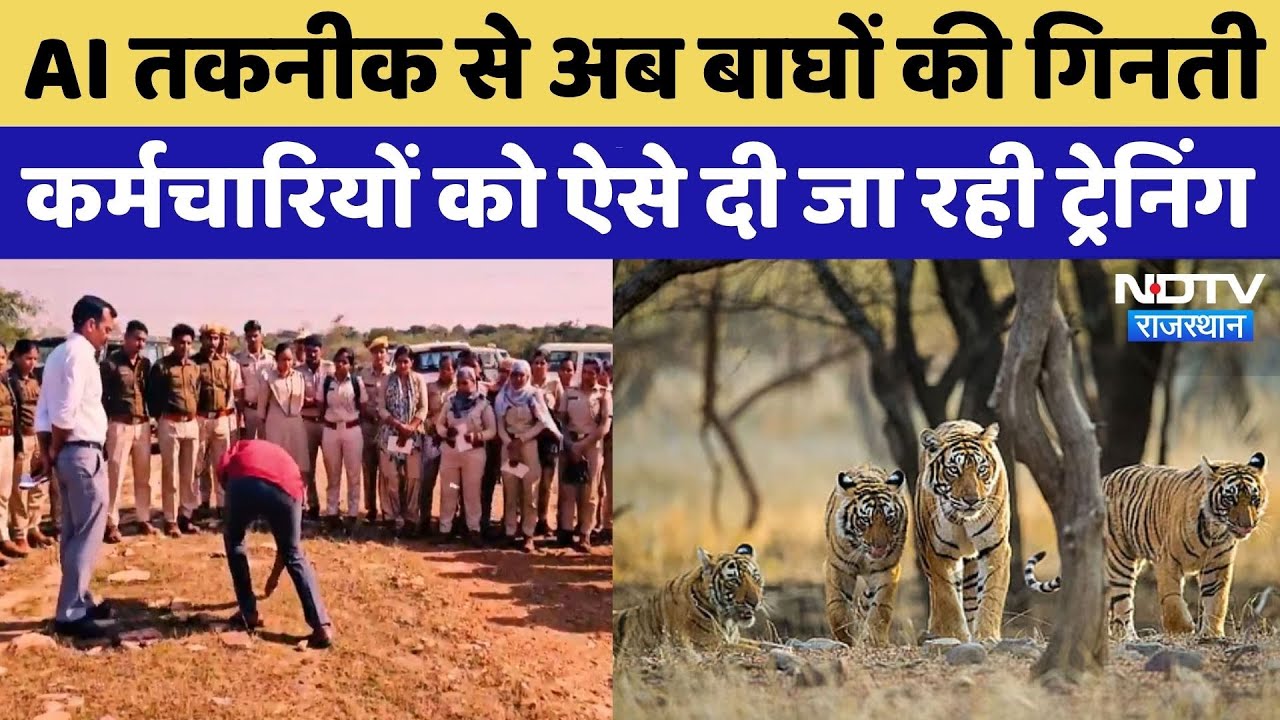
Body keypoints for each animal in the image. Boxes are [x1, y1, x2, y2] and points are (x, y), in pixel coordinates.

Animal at [612, 543, 764, 656]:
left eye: (755, 578)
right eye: (734, 581)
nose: (755, 603)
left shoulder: (735, 639)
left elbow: (762, 644)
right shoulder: (708, 645)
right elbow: (756, 650)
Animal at [824, 465, 909, 646]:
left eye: (889, 519)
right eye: (865, 520)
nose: (880, 546)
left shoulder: (887, 570)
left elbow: (880, 608)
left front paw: (875, 640)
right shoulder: (838, 568)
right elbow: (838, 607)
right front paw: (846, 638)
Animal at [915, 420, 1011, 643]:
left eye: (981, 469)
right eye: (953, 470)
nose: (972, 500)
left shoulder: (995, 547)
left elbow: (992, 595)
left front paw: (987, 636)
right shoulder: (939, 552)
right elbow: (947, 598)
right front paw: (953, 636)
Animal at [1024, 452, 1269, 640]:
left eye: (1254, 499)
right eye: (1230, 499)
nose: (1247, 525)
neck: (1215, 531)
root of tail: (1102, 480)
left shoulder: (1217, 567)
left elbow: (1217, 601)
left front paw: (1212, 634)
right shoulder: (1168, 561)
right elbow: (1171, 600)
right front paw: (1183, 629)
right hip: (1120, 560)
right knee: (1122, 605)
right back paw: (1128, 637)